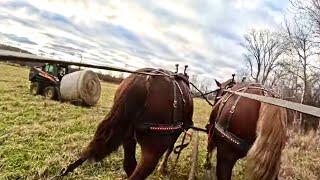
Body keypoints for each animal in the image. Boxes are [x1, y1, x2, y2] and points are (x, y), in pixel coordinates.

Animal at [60, 67, 195, 179]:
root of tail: (144, 80)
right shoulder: (178, 131)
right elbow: (170, 149)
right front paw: (163, 168)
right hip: (153, 150)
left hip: (128, 137)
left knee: (129, 165)